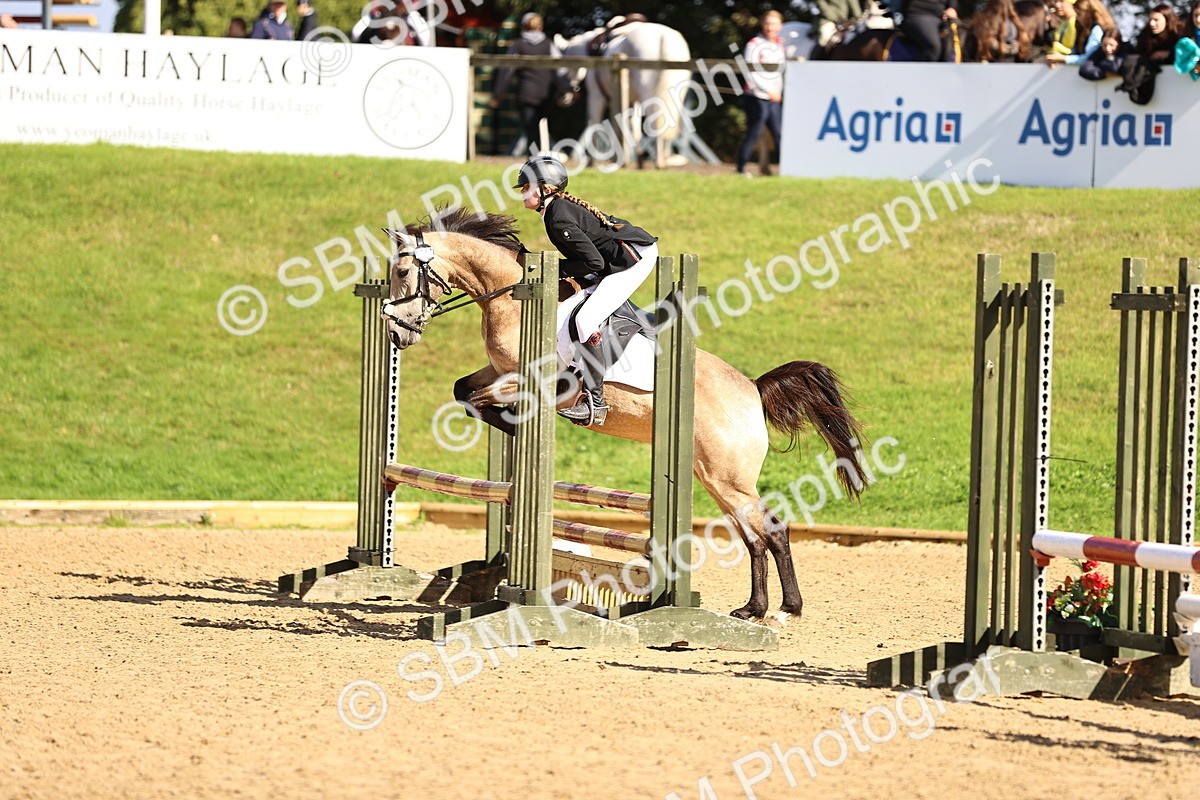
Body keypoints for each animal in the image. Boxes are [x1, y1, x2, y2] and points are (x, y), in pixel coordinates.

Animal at [379, 209, 869, 623]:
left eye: (402, 272)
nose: (397, 334)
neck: (514, 300)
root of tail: (752, 388)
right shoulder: (500, 371)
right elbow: (464, 391)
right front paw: (507, 424)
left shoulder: (545, 384)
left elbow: (482, 397)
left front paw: (512, 421)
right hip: (712, 476)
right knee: (753, 536)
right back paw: (756, 608)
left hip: (729, 477)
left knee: (772, 530)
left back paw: (782, 609)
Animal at [555, 19, 692, 169]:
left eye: (564, 61)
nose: (563, 97)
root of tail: (664, 36)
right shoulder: (633, 102)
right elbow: (634, 130)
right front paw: (638, 161)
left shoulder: (597, 97)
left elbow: (596, 124)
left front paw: (593, 161)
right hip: (674, 96)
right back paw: (666, 158)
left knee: (656, 121)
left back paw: (659, 161)